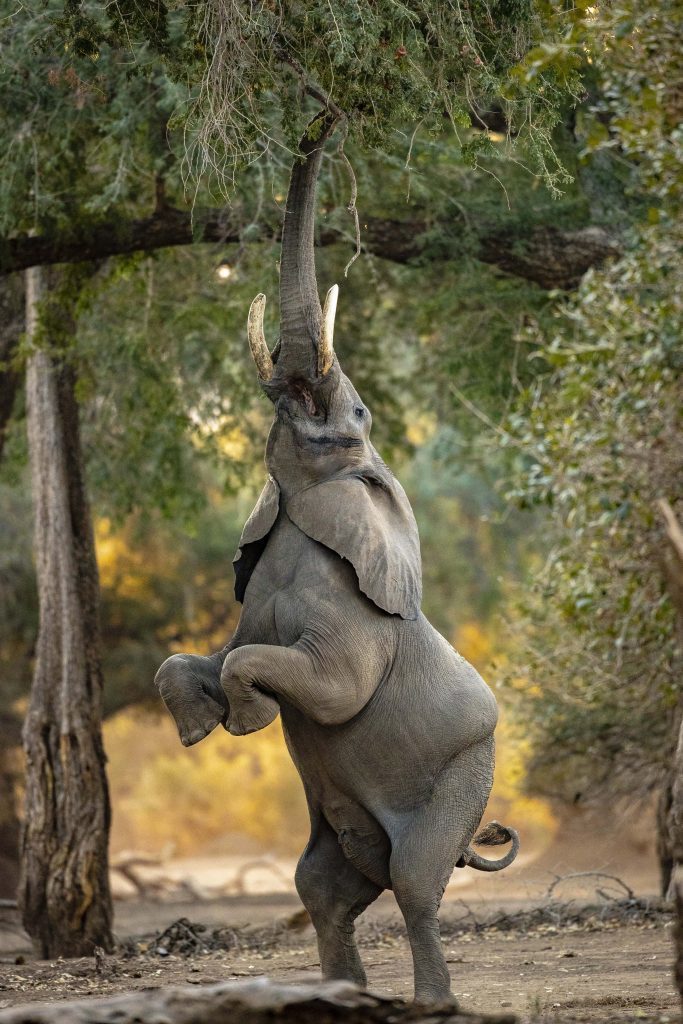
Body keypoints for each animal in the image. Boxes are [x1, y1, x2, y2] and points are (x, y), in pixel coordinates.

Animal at [154, 108, 518, 1003]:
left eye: (355, 415)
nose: (329, 114)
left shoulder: (357, 629)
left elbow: (322, 685)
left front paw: (245, 717)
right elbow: (202, 653)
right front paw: (200, 726)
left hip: (461, 775)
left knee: (416, 885)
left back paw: (431, 1003)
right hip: (344, 834)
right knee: (323, 887)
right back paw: (342, 995)